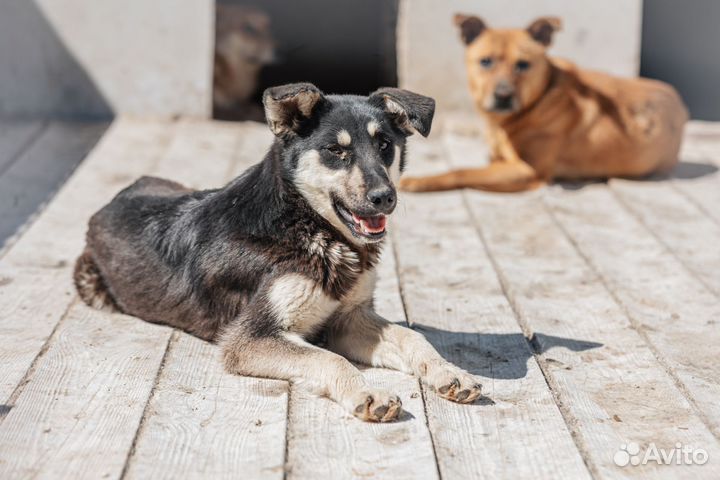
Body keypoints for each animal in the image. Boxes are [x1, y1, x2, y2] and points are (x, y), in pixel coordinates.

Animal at [74, 84, 484, 422]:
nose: (384, 198)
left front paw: (449, 371)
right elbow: (329, 358)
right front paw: (366, 392)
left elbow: (412, 337)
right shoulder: (250, 339)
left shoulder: (349, 318)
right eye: (335, 151)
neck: (303, 222)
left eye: (384, 145)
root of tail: (116, 197)